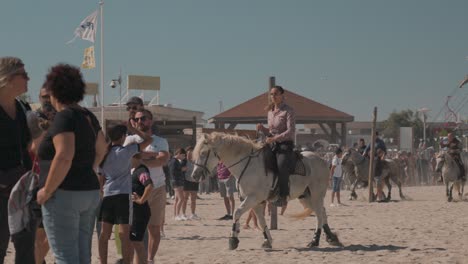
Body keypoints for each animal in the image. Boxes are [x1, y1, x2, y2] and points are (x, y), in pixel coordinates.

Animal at [189, 133, 340, 251]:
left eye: (203, 153)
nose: (194, 175)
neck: (247, 165)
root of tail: (321, 160)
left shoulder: (253, 198)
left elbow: (236, 213)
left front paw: (233, 239)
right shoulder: (255, 201)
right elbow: (261, 221)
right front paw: (267, 240)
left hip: (316, 194)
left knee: (319, 214)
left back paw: (315, 240)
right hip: (306, 197)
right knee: (322, 213)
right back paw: (331, 238)